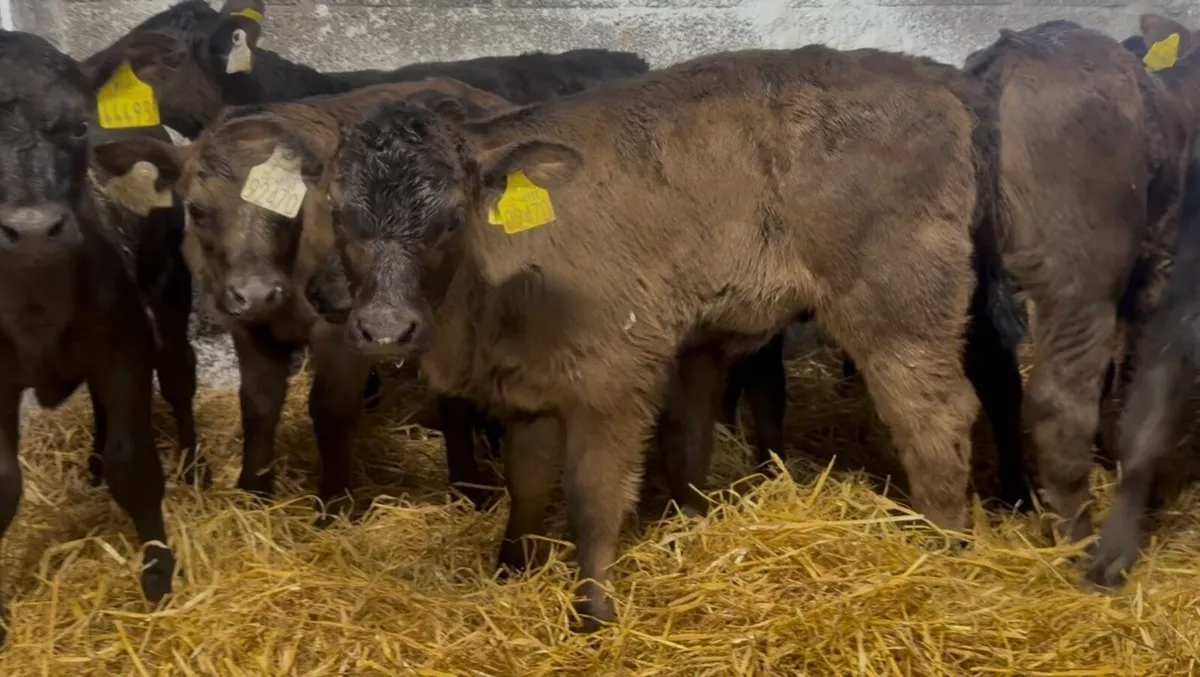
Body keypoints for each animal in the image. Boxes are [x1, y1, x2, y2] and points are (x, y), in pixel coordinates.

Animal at [0, 31, 201, 644]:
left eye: (78, 127)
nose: (32, 228)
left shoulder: (125, 351)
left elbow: (133, 466)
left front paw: (157, 572)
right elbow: (2, 484)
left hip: (168, 289)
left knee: (178, 374)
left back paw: (194, 463)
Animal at [92, 80, 515, 516]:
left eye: (291, 210)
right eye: (197, 209)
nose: (257, 292)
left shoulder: (343, 327)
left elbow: (330, 409)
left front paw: (335, 504)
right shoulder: (246, 326)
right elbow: (258, 405)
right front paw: (253, 490)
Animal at [325, 46, 1022, 631]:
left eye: (450, 218)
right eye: (338, 214)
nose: (385, 327)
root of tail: (933, 76)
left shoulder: (614, 376)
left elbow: (591, 493)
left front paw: (594, 612)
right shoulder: (528, 383)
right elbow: (528, 481)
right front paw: (509, 571)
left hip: (898, 306)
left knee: (935, 416)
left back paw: (943, 551)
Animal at [962, 20, 1190, 547]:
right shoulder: (1159, 273)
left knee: (999, 382)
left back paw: (1019, 496)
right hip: (1078, 281)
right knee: (1058, 400)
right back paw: (1078, 535)